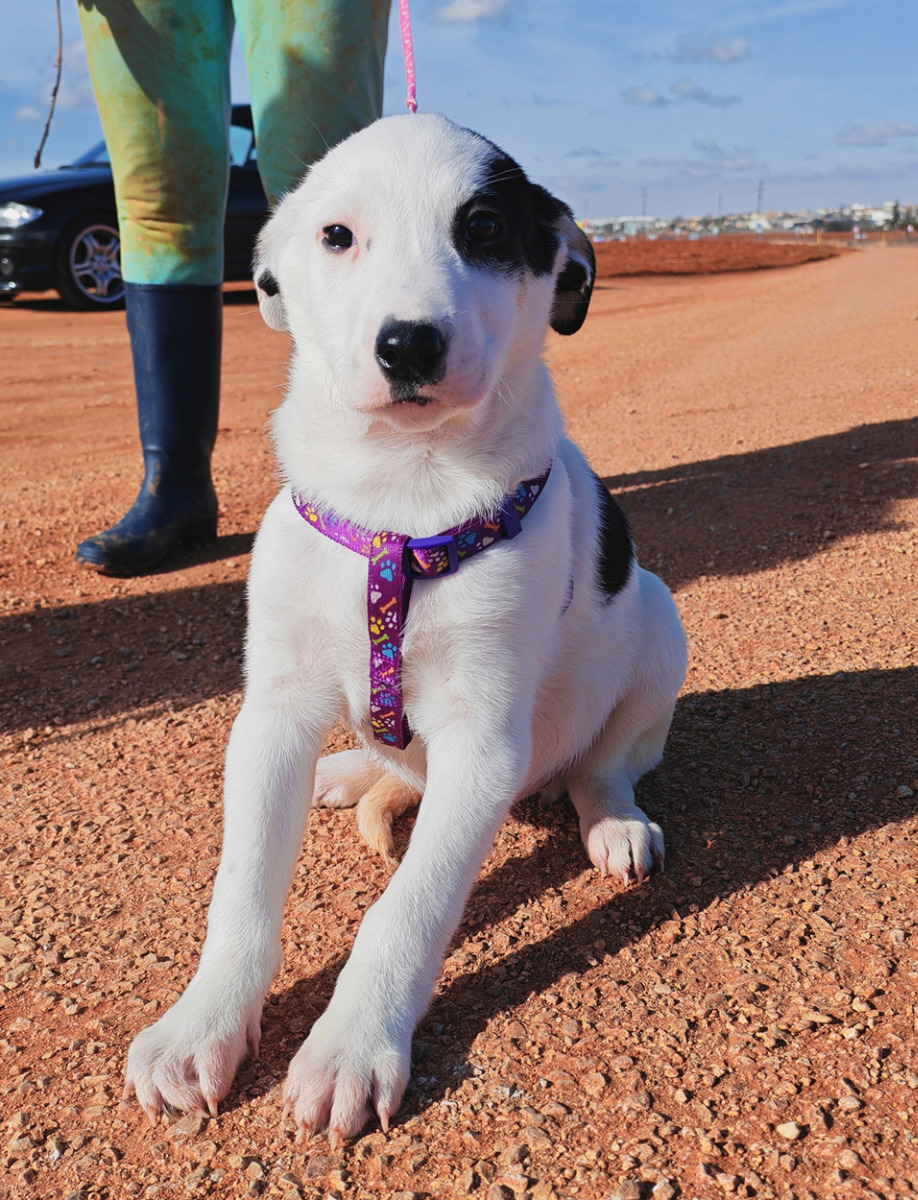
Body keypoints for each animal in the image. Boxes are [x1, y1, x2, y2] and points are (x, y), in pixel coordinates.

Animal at [123, 114, 688, 1143]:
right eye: (336, 236)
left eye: (486, 228)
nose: (409, 345)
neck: (401, 494)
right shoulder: (271, 716)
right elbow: (242, 890)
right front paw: (201, 1024)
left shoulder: (483, 745)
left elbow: (407, 908)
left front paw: (351, 1046)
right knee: (394, 770)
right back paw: (354, 772)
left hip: (661, 623)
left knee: (605, 763)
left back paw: (612, 821)